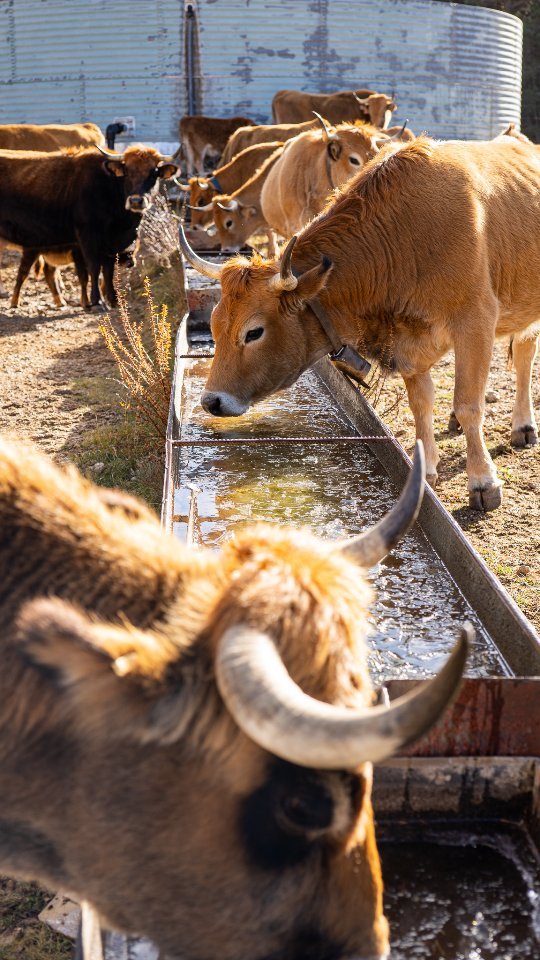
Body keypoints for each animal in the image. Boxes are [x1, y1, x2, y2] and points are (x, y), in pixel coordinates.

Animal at [0, 144, 177, 309]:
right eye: (127, 171)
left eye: (153, 173)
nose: (136, 201)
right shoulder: (88, 237)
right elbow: (94, 268)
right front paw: (97, 302)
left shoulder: (110, 244)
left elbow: (108, 270)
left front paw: (113, 300)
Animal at [181, 136, 540, 512]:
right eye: (215, 324)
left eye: (253, 332)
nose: (211, 402)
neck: (404, 235)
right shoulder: (409, 344)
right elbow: (421, 403)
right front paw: (424, 473)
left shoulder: (475, 322)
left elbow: (470, 405)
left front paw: (483, 481)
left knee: (525, 357)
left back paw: (523, 427)